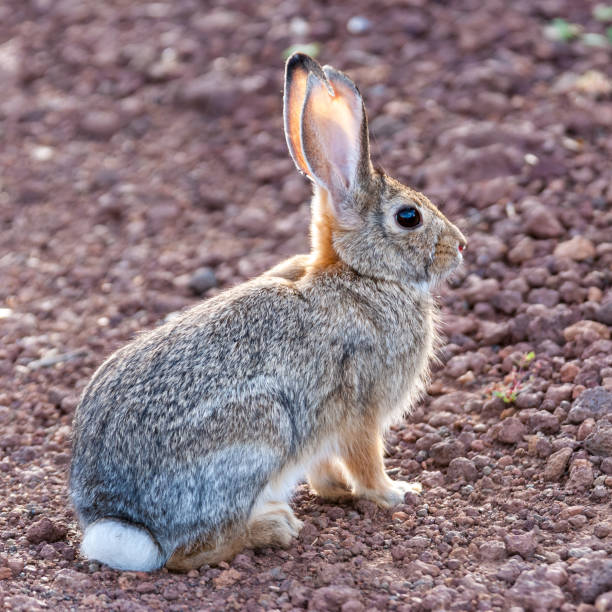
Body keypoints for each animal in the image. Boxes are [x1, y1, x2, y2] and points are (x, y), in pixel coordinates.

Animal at [69, 53, 466, 572]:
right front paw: (396, 492)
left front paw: (336, 491)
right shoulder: (362, 407)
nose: (461, 246)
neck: (360, 274)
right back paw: (273, 526)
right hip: (262, 432)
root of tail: (120, 521)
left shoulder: (324, 429)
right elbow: (366, 460)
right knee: (187, 552)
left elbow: (326, 465)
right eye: (408, 217)